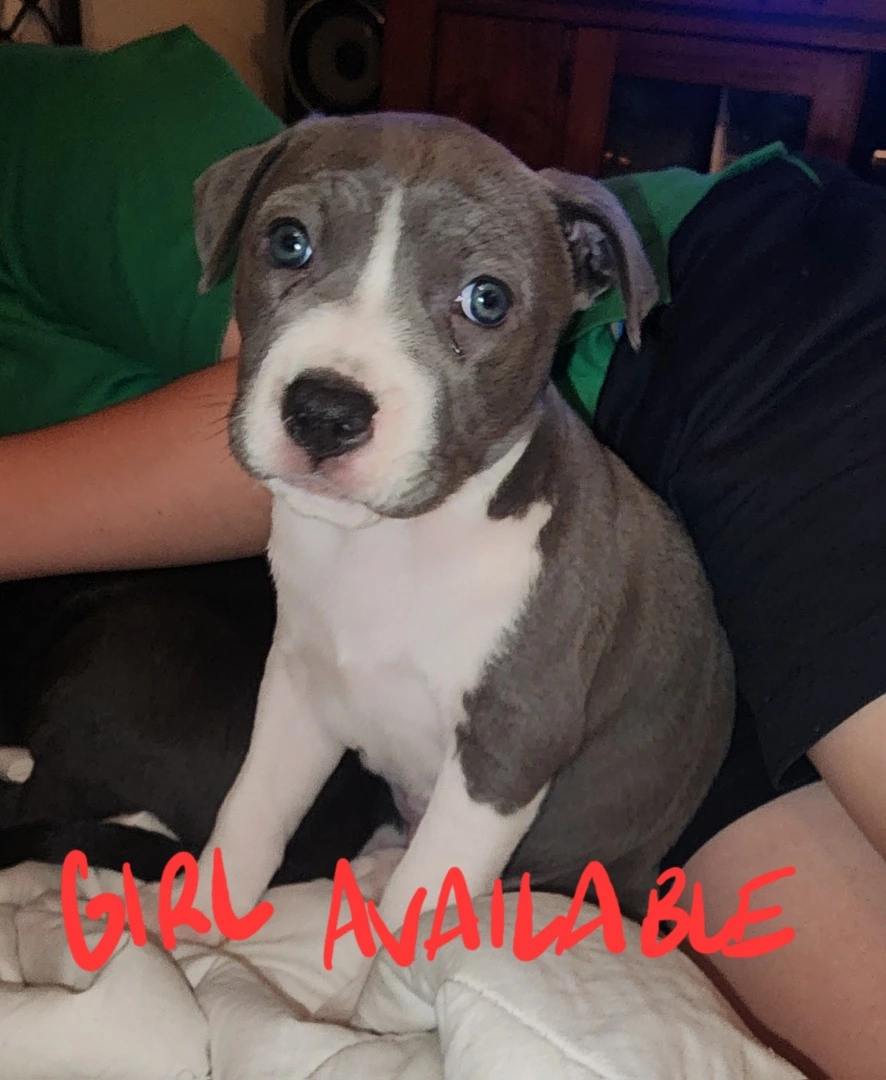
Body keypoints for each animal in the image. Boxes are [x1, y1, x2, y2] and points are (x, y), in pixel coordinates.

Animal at [184, 112, 734, 1020]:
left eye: (487, 299)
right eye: (289, 242)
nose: (324, 411)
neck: (383, 548)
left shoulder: (504, 755)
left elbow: (416, 916)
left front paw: (369, 1021)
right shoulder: (297, 686)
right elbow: (249, 813)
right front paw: (186, 939)